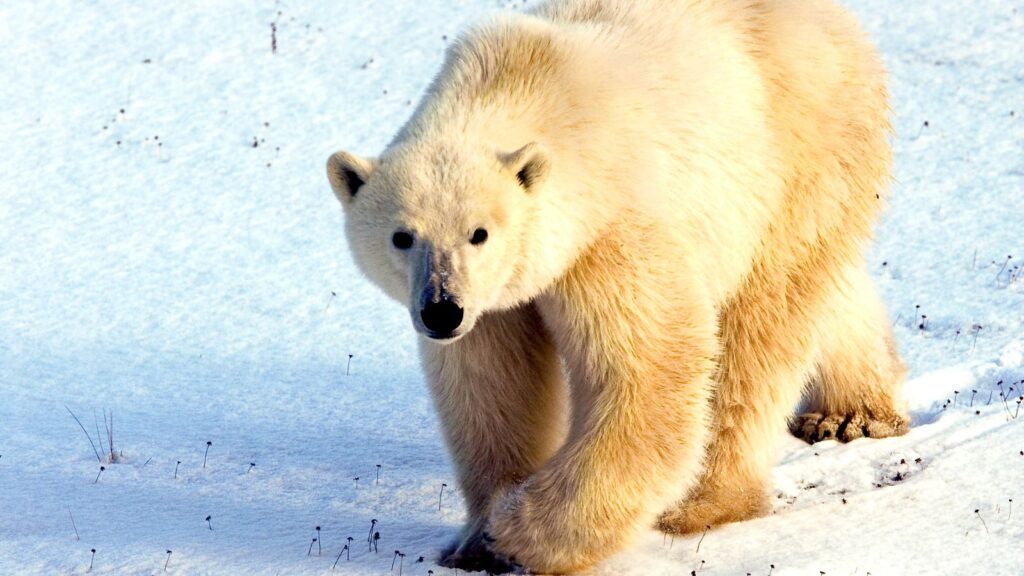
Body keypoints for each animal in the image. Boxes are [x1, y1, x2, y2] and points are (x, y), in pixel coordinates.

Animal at [323, 0, 909, 565]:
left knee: (763, 323)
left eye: (479, 233)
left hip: (798, 153)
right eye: (402, 236)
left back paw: (706, 502)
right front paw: (473, 538)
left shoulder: (608, 229)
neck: (516, 84)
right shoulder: (496, 300)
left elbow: (648, 368)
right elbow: (493, 385)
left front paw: (516, 534)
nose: (442, 310)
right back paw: (849, 414)